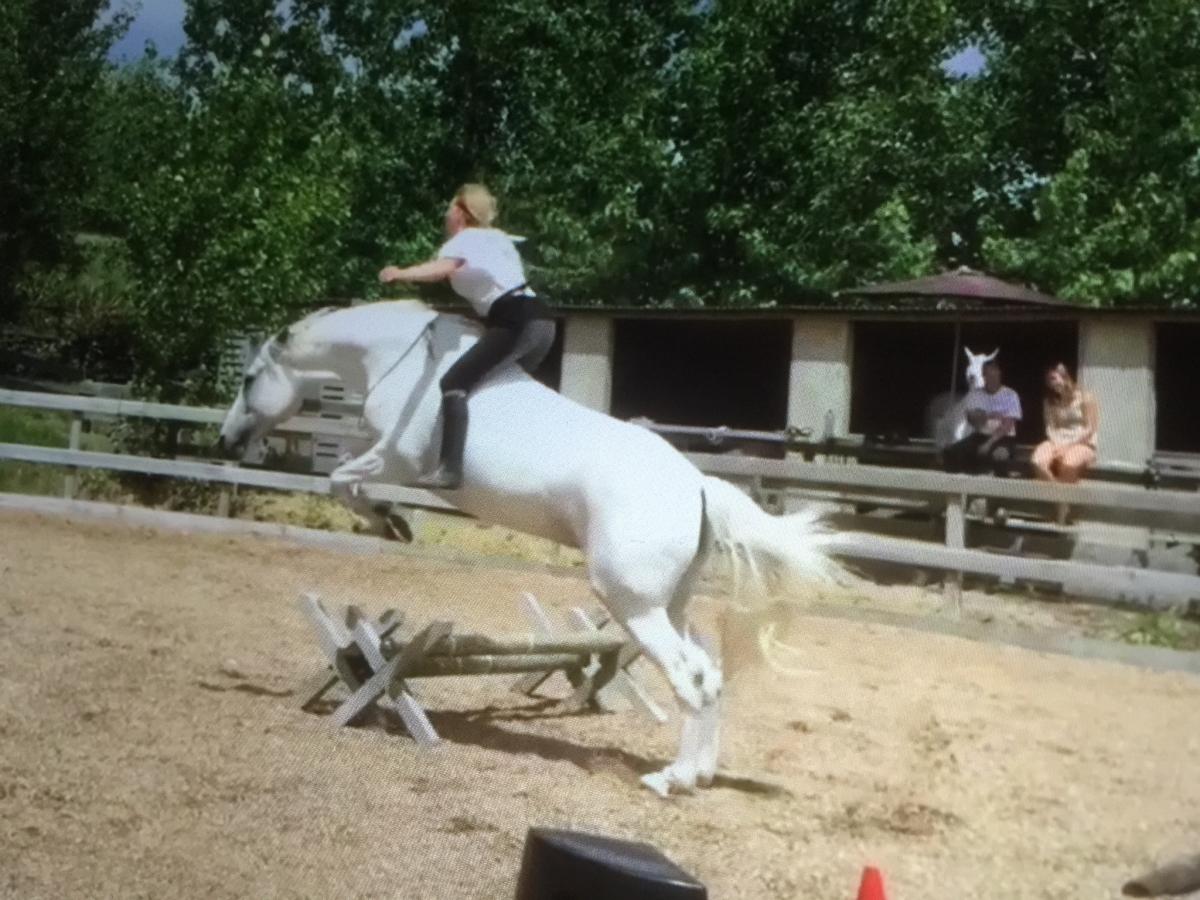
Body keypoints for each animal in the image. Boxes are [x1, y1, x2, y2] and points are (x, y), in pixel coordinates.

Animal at [217, 300, 846, 797]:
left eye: (248, 379)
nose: (226, 440)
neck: (400, 360)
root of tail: (696, 486)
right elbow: (344, 473)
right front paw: (392, 522)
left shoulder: (395, 458)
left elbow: (342, 480)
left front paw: (391, 523)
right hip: (670, 604)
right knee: (709, 674)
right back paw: (700, 774)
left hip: (633, 604)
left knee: (688, 676)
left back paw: (670, 780)